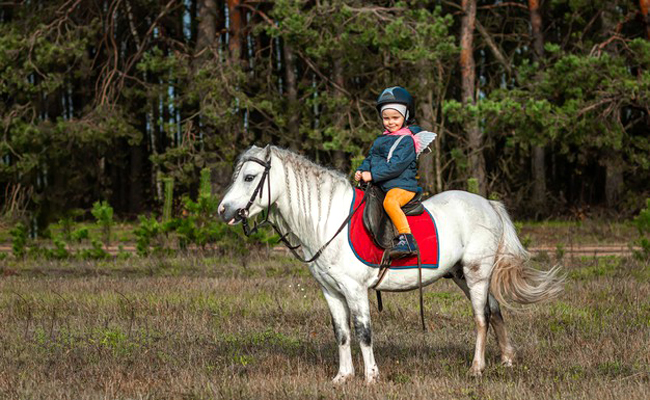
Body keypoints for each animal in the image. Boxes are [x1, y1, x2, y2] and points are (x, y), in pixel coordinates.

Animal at [218, 145, 560, 382]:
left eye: (249, 177)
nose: (224, 210)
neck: (328, 219)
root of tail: (487, 203)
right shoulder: (331, 292)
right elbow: (342, 332)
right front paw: (343, 377)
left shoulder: (355, 290)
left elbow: (363, 332)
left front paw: (371, 377)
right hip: (464, 275)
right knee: (495, 310)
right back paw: (507, 360)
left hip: (476, 274)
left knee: (481, 318)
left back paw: (477, 368)